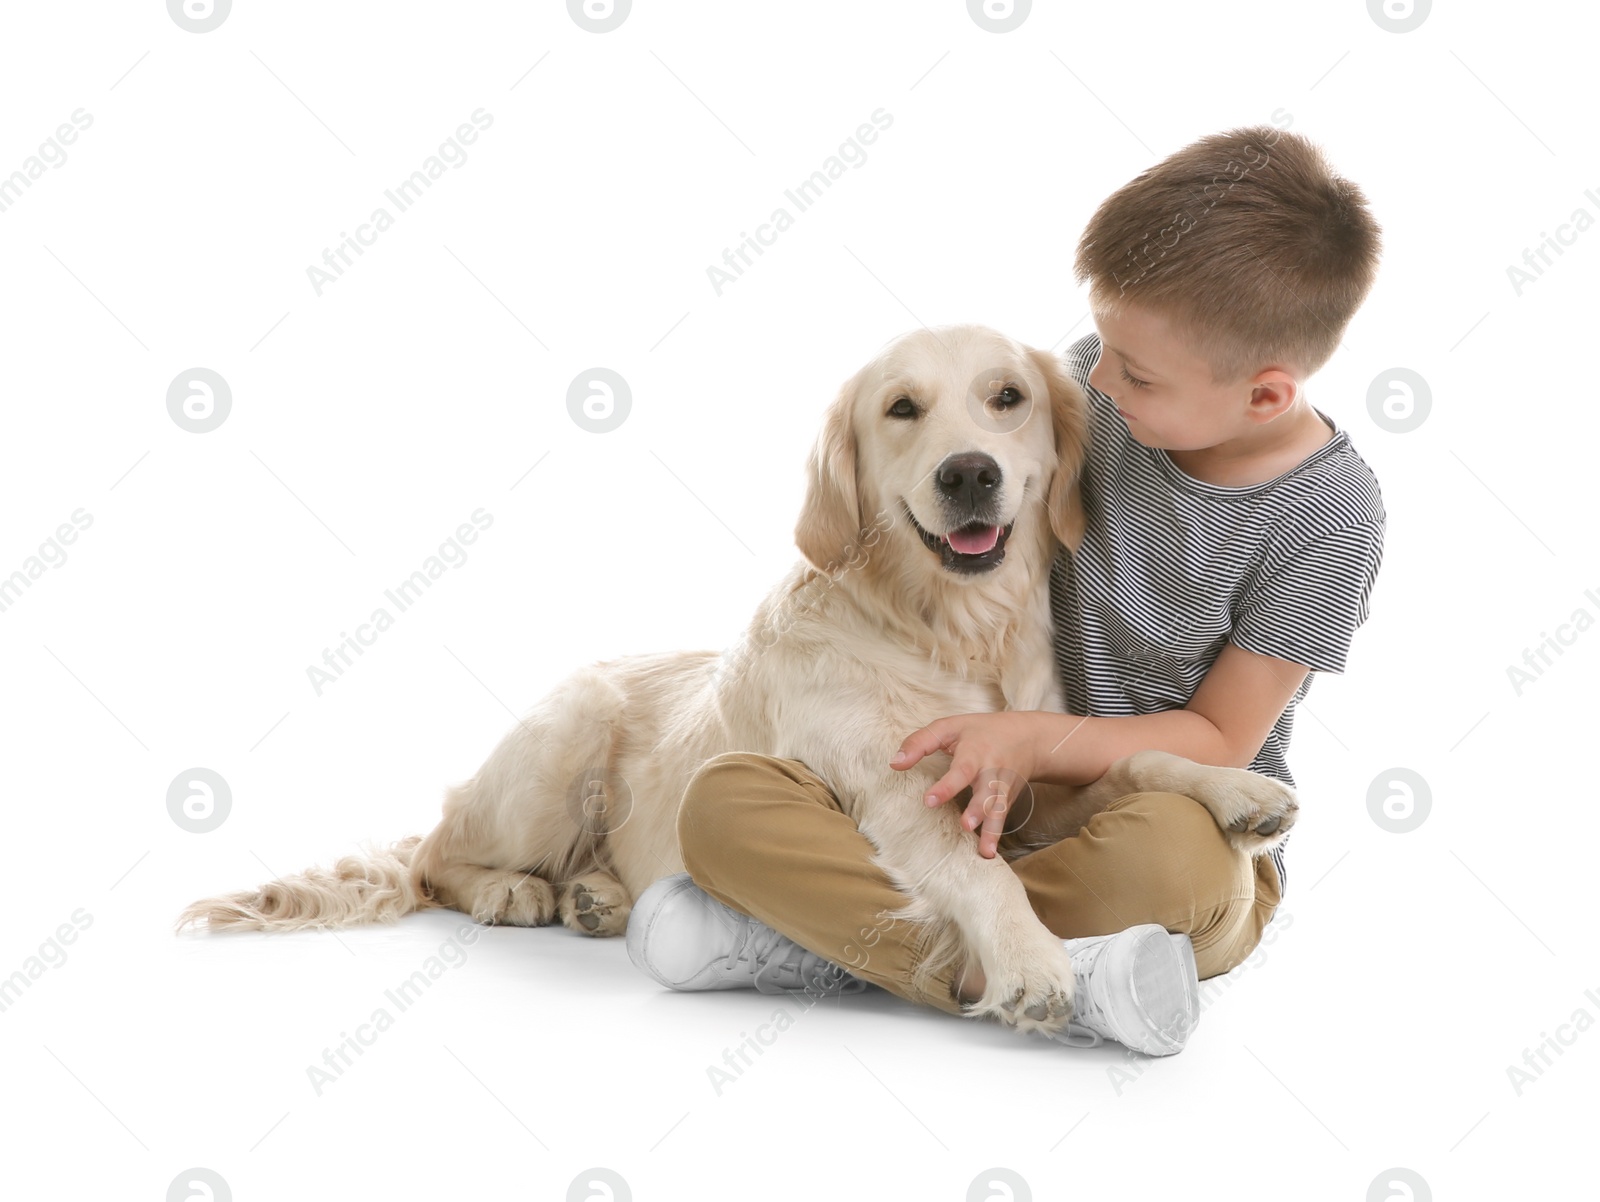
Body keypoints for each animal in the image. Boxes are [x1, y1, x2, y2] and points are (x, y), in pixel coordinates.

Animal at [178, 324, 1299, 1037]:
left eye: (1008, 398)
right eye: (902, 409)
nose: (969, 472)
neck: (948, 632)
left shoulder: (1019, 781)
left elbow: (1139, 758)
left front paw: (1236, 790)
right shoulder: (906, 797)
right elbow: (980, 873)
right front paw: (1029, 963)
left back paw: (595, 894)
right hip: (559, 741)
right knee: (435, 858)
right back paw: (515, 888)